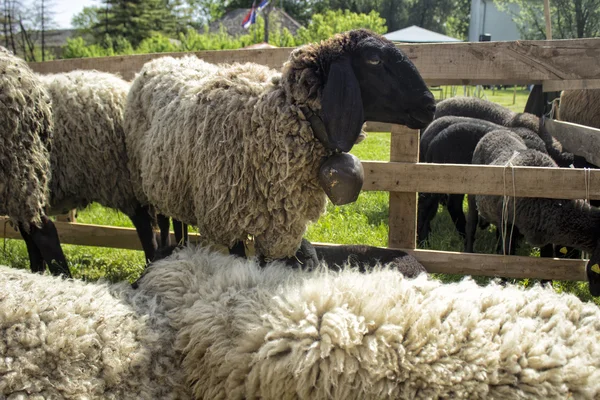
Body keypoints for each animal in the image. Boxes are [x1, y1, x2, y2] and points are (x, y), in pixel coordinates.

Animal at [125, 28, 436, 260]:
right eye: (373, 59)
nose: (430, 105)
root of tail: (160, 61)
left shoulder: (279, 223)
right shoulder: (229, 218)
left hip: (174, 181)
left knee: (177, 218)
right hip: (150, 182)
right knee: (163, 219)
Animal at [472, 130, 600, 296]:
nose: (595, 293)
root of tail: (497, 131)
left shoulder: (547, 234)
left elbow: (546, 261)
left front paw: (546, 287)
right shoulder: (508, 223)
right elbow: (506, 255)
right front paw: (502, 283)